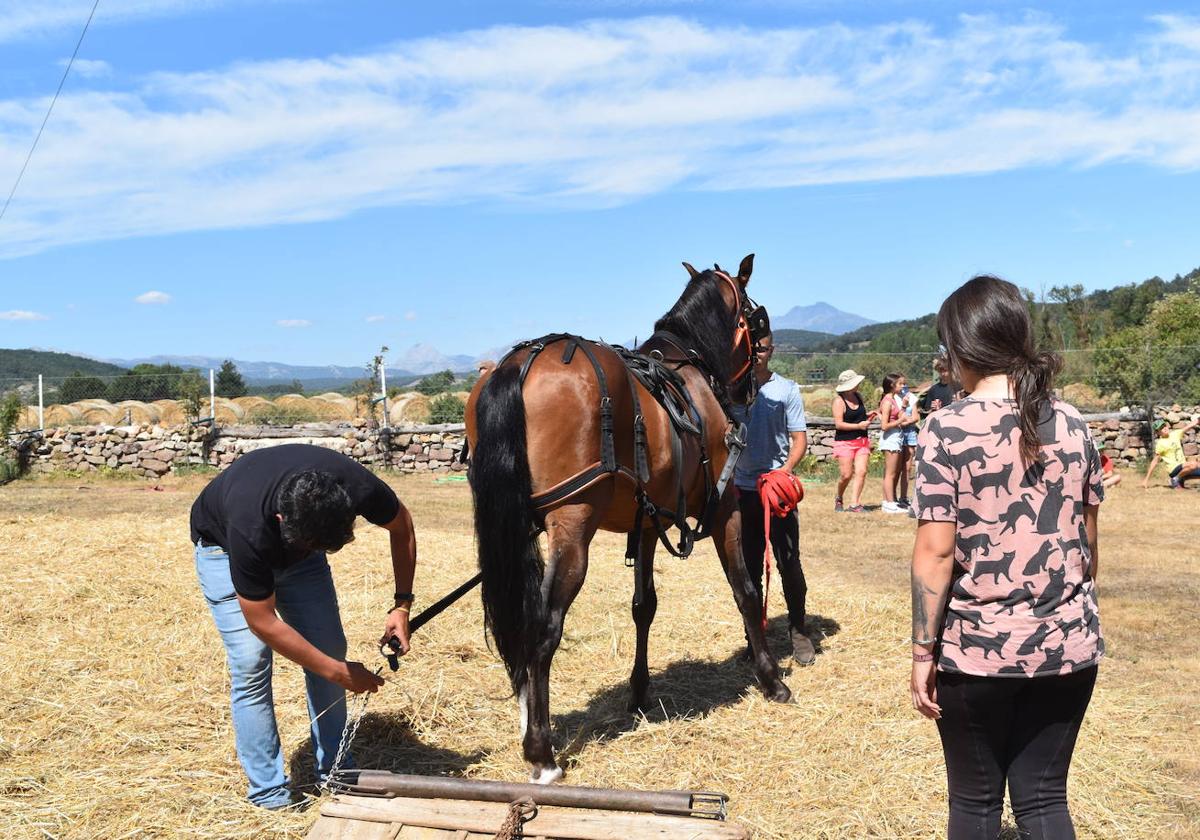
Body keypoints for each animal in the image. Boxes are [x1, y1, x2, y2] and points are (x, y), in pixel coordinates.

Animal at [460, 255, 787, 782]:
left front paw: (639, 691)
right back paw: (541, 751)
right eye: (759, 320)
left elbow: (643, 606)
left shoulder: (647, 523)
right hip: (573, 527)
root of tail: (517, 364)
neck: (690, 369)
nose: (761, 374)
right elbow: (745, 589)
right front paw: (771, 677)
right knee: (543, 626)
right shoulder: (724, 510)